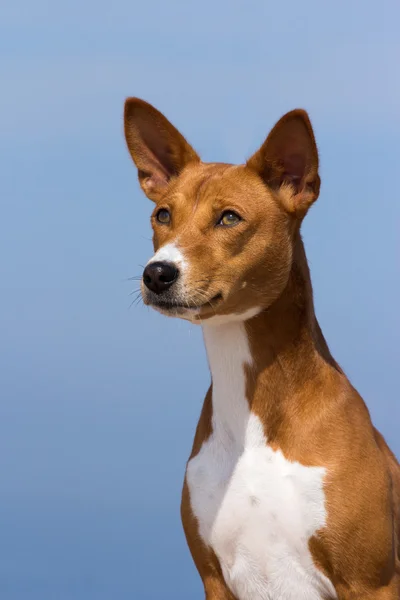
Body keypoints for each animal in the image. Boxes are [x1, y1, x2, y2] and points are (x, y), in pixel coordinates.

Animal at [123, 99, 398, 600]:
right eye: (163, 215)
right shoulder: (214, 578)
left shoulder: (370, 580)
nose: (157, 273)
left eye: (229, 217)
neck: (252, 421)